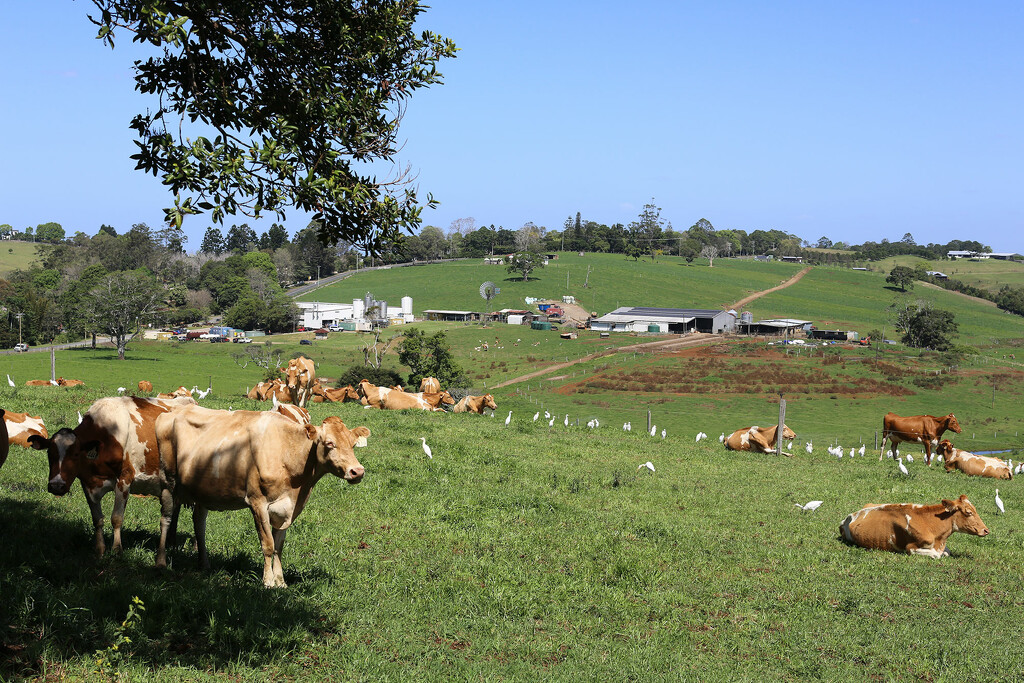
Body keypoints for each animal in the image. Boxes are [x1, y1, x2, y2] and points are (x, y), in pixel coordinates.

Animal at [27, 395, 197, 557]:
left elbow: (116, 518)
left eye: (75, 454)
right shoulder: (88, 483)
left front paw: (116, 550)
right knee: (175, 510)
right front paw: (100, 549)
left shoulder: (125, 479)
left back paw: (195, 546)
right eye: (50, 453)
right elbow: (97, 519)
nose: (56, 485)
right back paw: (171, 542)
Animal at [155, 405, 368, 589]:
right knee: (166, 519)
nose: (357, 471)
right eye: (330, 443)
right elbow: (268, 544)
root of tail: (171, 412)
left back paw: (205, 564)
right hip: (168, 481)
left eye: (352, 444)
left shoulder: (288, 508)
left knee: (199, 523)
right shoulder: (258, 503)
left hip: (202, 490)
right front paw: (268, 581)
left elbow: (279, 546)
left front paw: (281, 581)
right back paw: (161, 562)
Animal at [839, 497, 991, 561]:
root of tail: (851, 515)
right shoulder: (911, 547)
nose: (986, 530)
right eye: (968, 512)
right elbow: (936, 555)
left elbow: (946, 552)